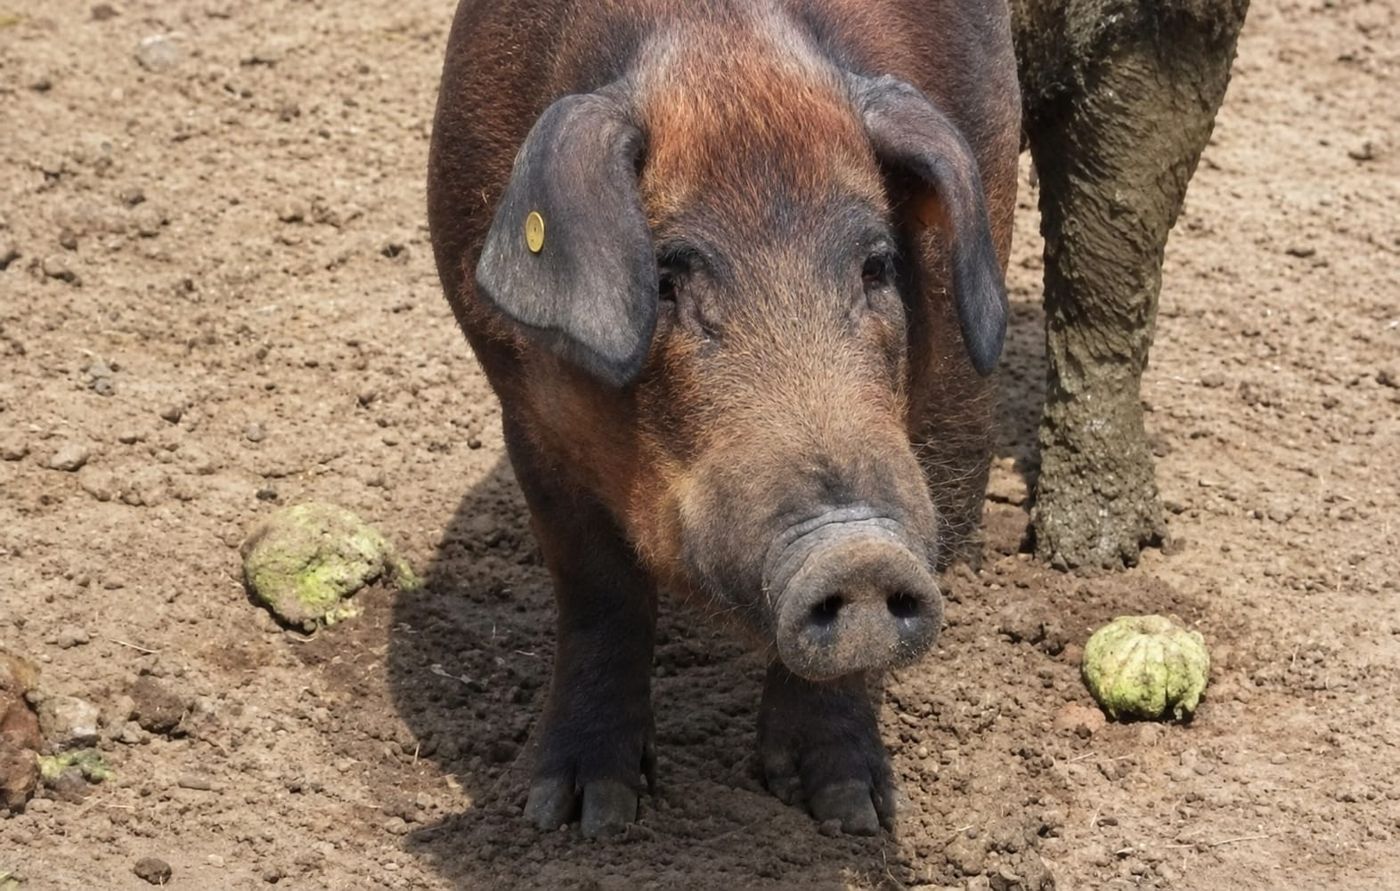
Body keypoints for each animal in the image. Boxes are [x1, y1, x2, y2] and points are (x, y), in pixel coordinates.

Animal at [427, 0, 1019, 836]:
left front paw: (852, 814)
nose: (860, 552)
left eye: (876, 265)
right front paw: (579, 817)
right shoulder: (525, 410)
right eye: (666, 279)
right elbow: (598, 591)